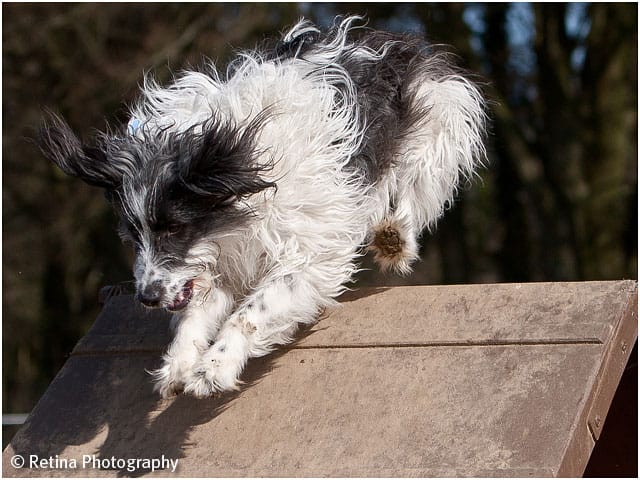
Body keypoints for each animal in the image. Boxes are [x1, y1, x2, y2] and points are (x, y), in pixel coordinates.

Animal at [37, 15, 484, 398]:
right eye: (133, 235)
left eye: (174, 228)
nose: (147, 297)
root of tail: (393, 40)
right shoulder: (220, 265)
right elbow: (196, 315)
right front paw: (179, 365)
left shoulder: (306, 255)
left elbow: (250, 312)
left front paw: (213, 368)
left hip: (434, 130)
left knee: (412, 187)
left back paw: (394, 238)